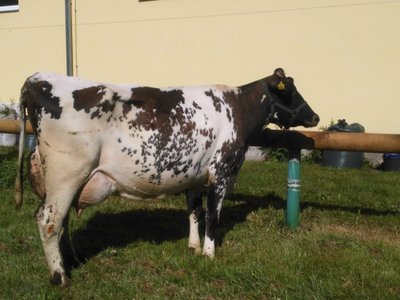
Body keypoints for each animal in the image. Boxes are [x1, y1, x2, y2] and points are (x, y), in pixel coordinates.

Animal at [15, 67, 318, 286]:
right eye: (291, 91)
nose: (315, 117)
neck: (236, 109)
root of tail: (37, 78)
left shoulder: (195, 177)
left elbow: (195, 212)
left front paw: (193, 247)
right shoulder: (221, 171)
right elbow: (213, 216)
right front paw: (209, 254)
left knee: (61, 221)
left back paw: (71, 262)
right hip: (66, 175)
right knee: (49, 220)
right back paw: (60, 278)